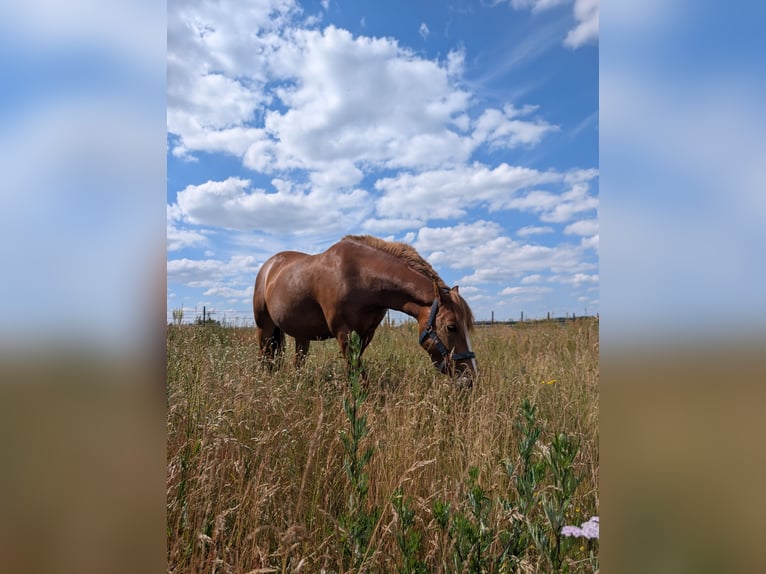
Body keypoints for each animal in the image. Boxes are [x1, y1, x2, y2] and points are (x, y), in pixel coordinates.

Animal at [255, 236, 476, 384]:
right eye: (451, 327)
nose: (470, 379)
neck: (361, 276)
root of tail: (270, 266)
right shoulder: (344, 334)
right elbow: (356, 374)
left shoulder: (366, 334)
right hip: (264, 328)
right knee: (265, 358)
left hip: (302, 335)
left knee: (297, 362)